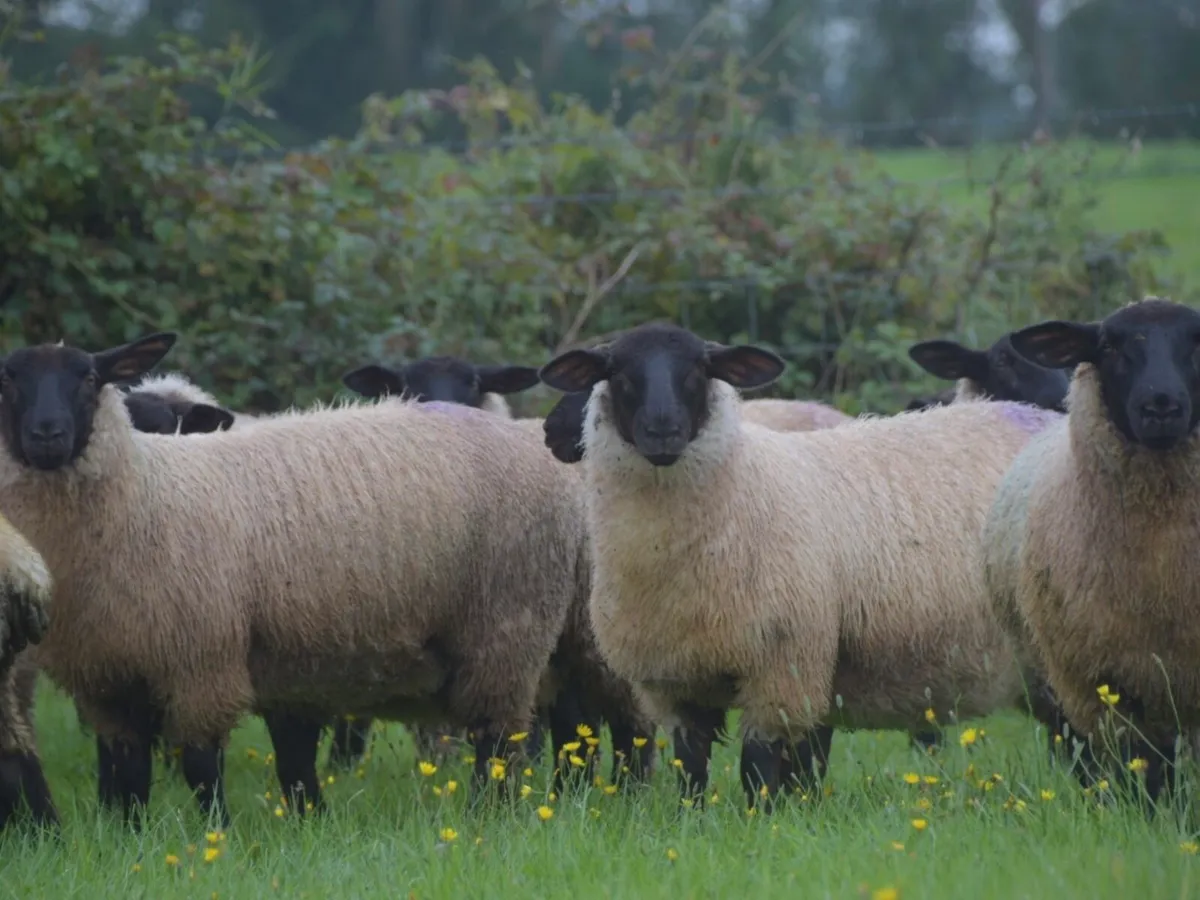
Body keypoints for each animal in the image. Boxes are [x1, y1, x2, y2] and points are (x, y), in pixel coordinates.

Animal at [0, 332, 589, 827]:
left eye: (88, 378)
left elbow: (201, 766)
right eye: (9, 380)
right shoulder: (108, 680)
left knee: (501, 740)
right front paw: (128, 836)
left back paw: (489, 817)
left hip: (506, 627)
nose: (46, 435)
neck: (149, 490)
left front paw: (218, 836)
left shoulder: (202, 662)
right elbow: (128, 774)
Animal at [538, 321, 1067, 811]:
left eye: (699, 370)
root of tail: (1039, 416)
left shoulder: (783, 665)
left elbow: (758, 765)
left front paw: (763, 820)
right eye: (617, 372)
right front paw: (694, 820)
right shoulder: (674, 681)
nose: (663, 431)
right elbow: (691, 768)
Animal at [981, 297, 1200, 806]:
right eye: (1109, 346)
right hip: (1053, 681)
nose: (1161, 405)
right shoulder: (1100, 679)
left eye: (1199, 341)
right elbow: (1138, 768)